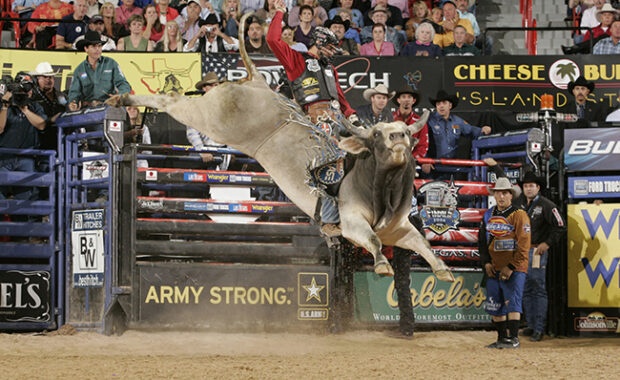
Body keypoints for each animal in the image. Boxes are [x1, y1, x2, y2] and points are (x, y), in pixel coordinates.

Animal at [106, 15, 452, 282]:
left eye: (405, 131)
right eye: (378, 134)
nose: (399, 139)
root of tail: (258, 83)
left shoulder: (400, 230)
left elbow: (423, 244)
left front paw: (443, 270)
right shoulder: (353, 222)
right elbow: (374, 240)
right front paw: (382, 266)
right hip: (210, 115)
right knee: (171, 100)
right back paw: (124, 98)